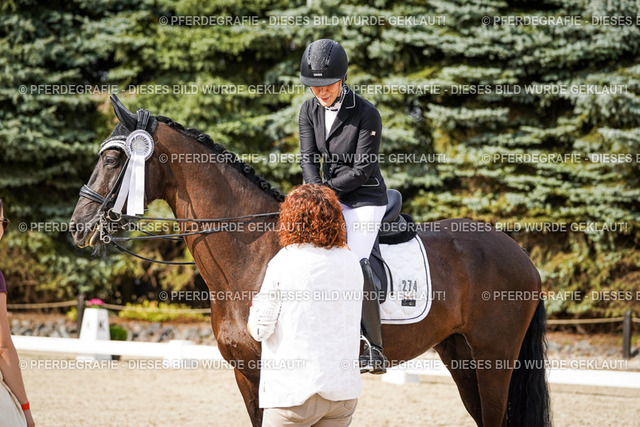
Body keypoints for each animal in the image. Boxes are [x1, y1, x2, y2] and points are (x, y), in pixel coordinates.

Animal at [70, 96, 550, 427]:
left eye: (112, 158)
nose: (78, 226)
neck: (250, 251)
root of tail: (520, 254)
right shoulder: (247, 374)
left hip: (494, 359)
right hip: (461, 357)